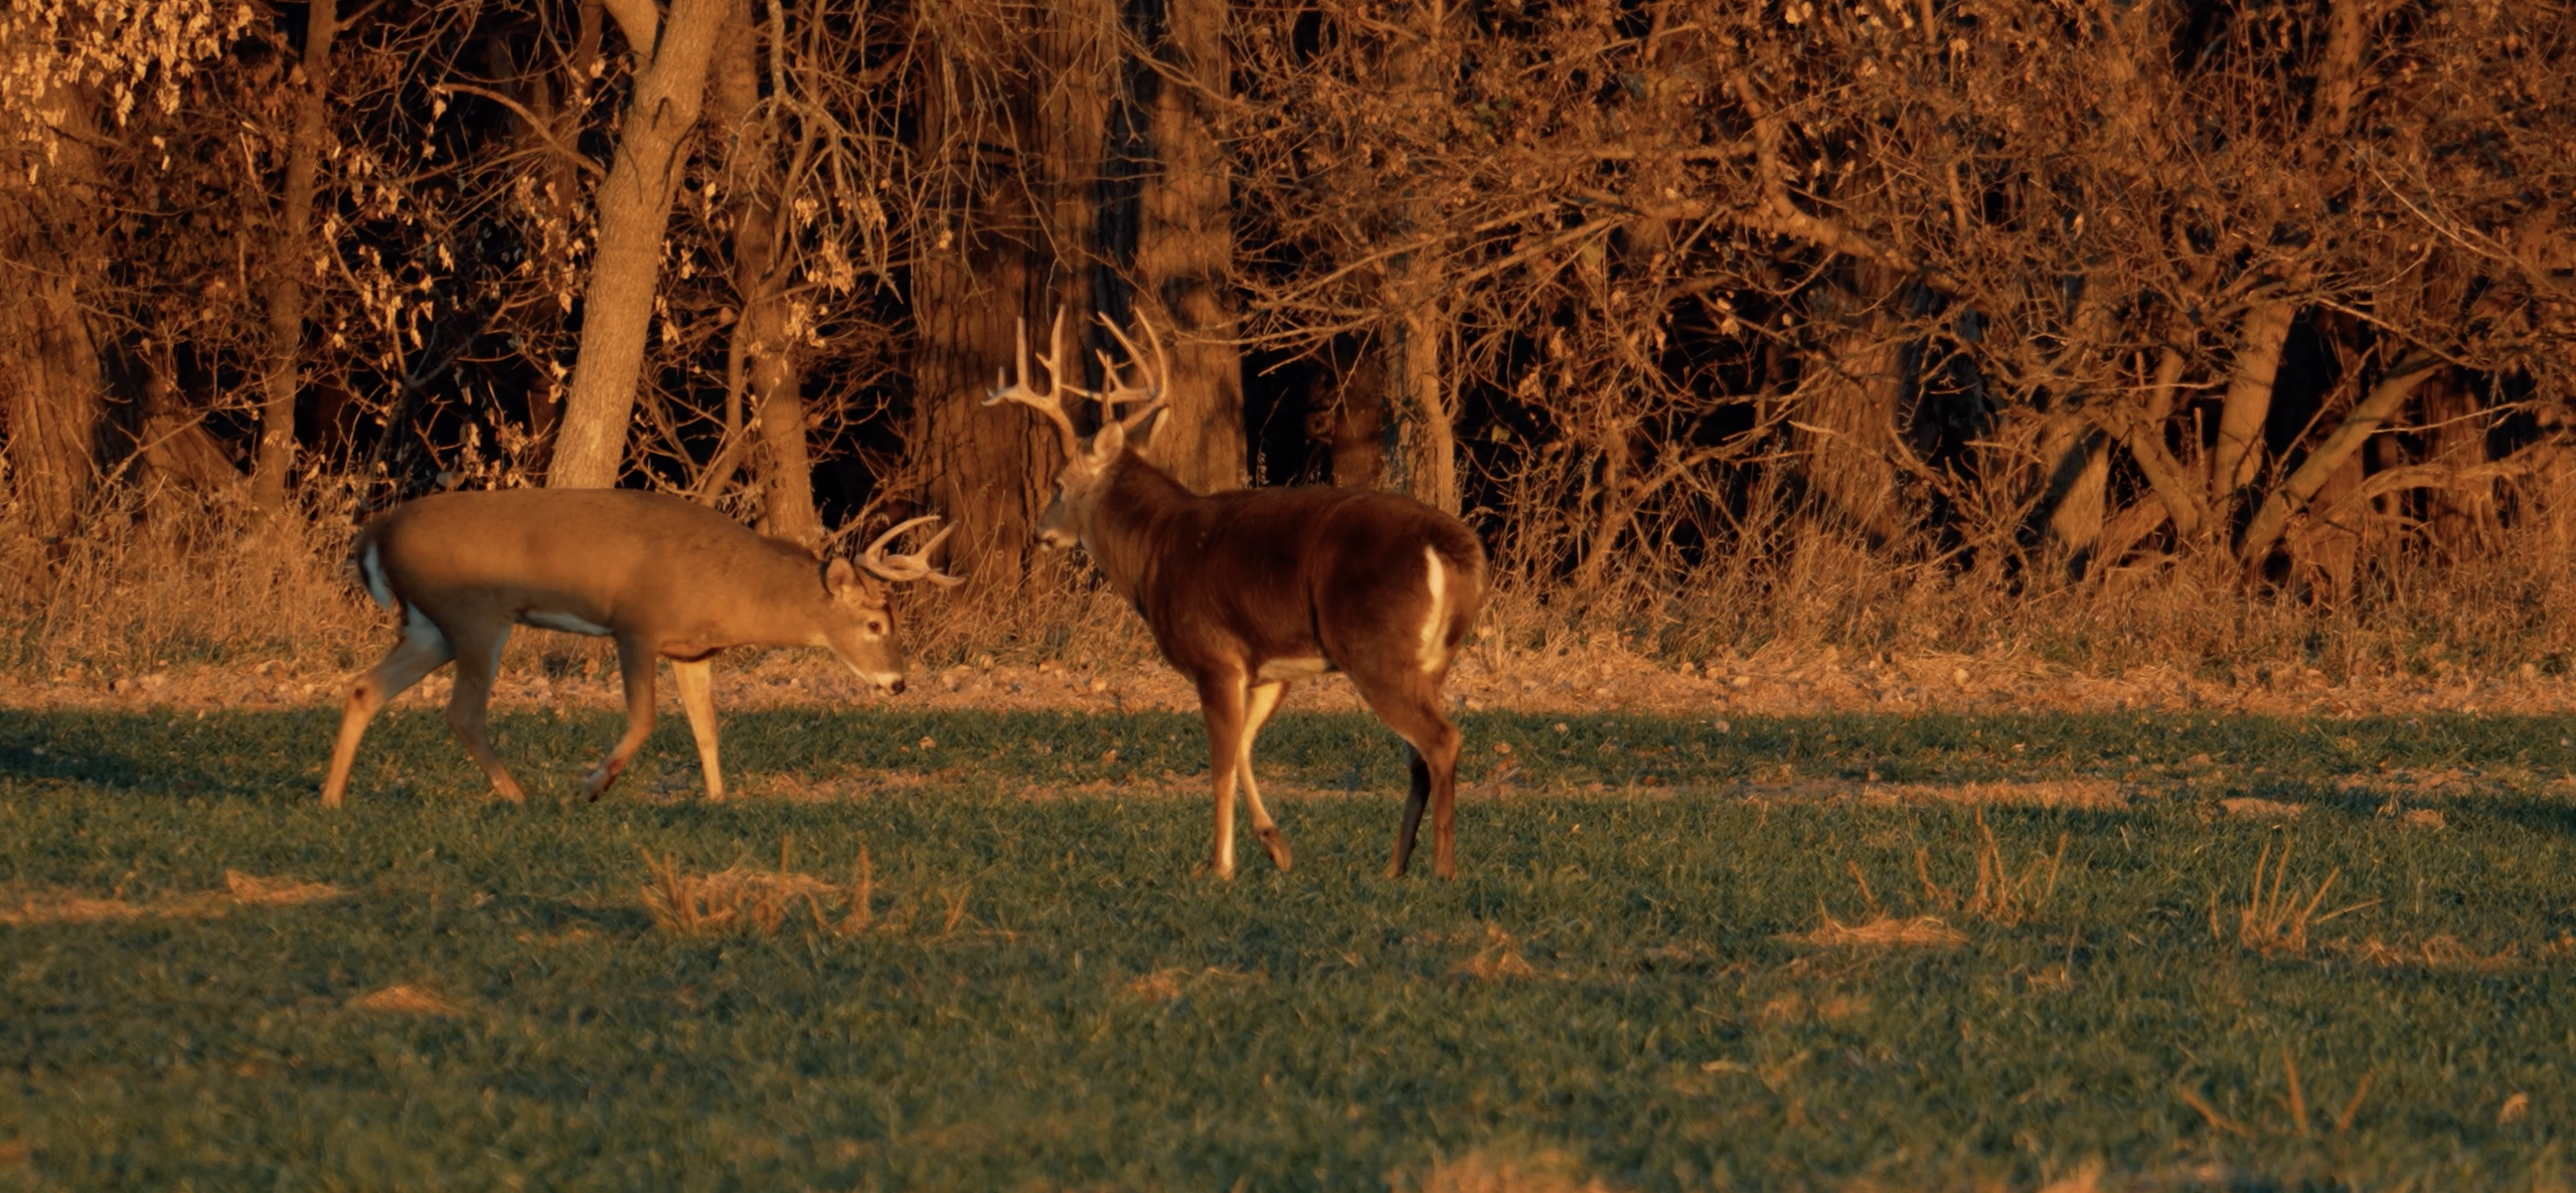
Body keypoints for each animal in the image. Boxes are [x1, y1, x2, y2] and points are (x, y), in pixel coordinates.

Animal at [319, 488, 960, 808]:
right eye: (875, 624)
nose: (898, 683)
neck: (730, 584)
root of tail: (374, 532)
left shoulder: (691, 651)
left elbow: (707, 727)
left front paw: (718, 798)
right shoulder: (635, 627)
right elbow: (646, 718)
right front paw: (592, 785)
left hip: (429, 626)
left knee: (365, 688)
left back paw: (331, 797)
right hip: (475, 615)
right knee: (462, 712)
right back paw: (519, 795)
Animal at [986, 309, 1487, 879]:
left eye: (1057, 483)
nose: (1041, 533)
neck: (1152, 550)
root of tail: (1455, 549)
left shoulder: (1214, 659)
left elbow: (1220, 764)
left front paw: (1219, 866)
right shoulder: (1269, 668)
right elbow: (1245, 747)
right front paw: (1276, 845)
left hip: (1375, 650)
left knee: (1442, 740)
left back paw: (1441, 869)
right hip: (1429, 659)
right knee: (1417, 758)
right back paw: (1393, 868)